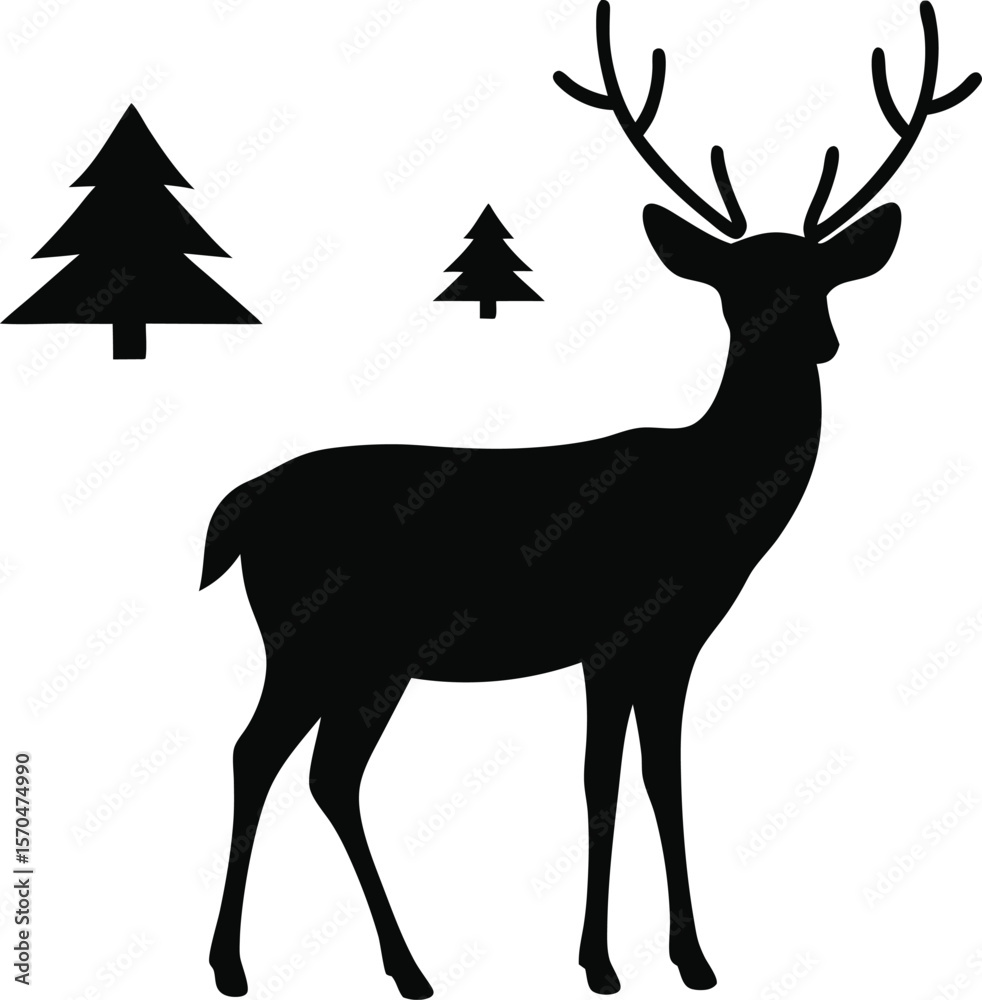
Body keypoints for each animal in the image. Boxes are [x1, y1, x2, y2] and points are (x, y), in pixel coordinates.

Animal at [202, 3, 978, 997]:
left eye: (824, 277)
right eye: (737, 287)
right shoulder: (612, 632)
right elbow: (599, 786)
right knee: (262, 755)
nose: (815, 338)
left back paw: (391, 967)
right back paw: (250, 965)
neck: (711, 503)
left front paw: (692, 959)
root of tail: (241, 505)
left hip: (363, 658)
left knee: (320, 772)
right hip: (315, 637)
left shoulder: (673, 647)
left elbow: (663, 782)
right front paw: (600, 963)